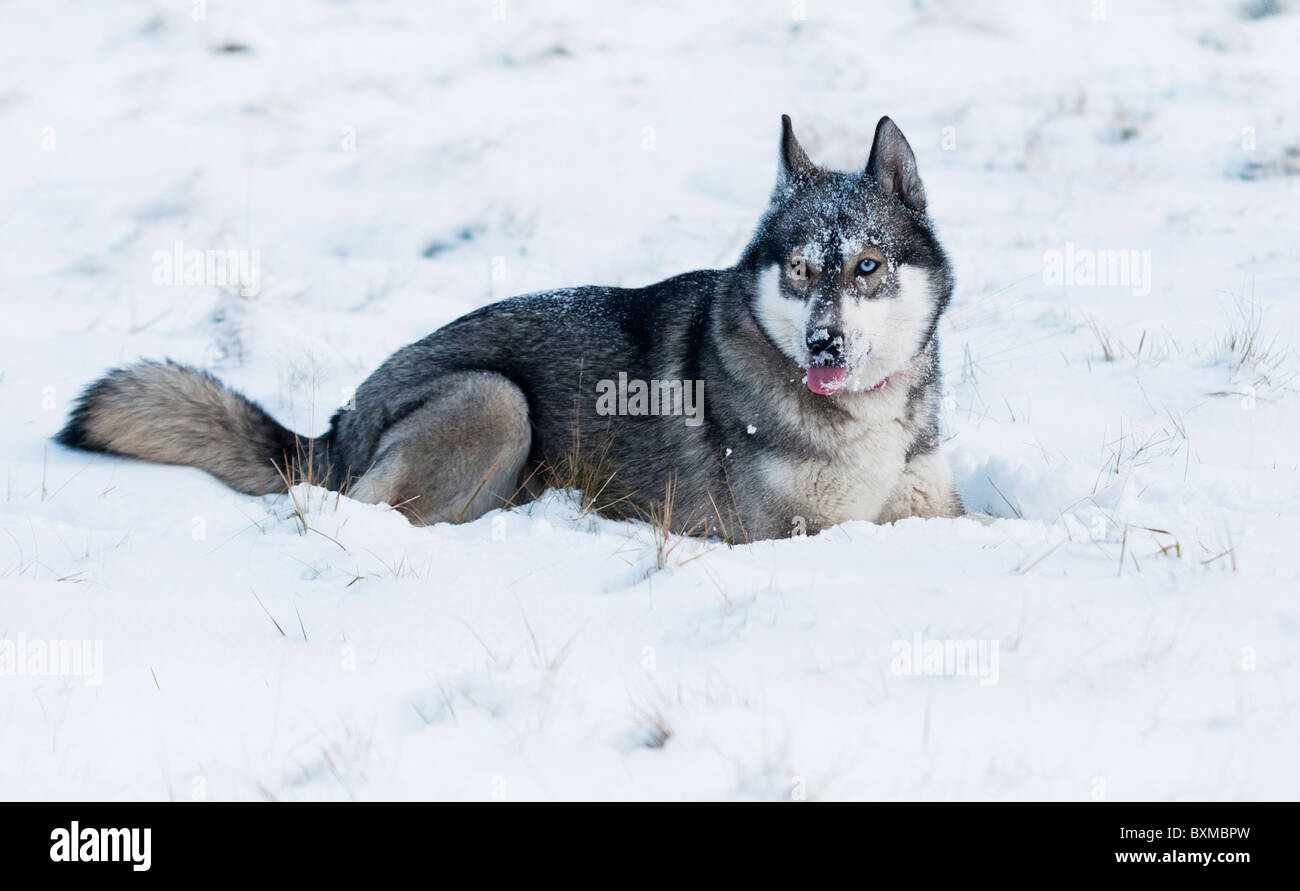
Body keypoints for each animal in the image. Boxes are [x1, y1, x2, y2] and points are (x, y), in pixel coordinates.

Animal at [58, 114, 956, 538]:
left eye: (866, 266)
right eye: (800, 271)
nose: (823, 344)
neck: (861, 419)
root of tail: (340, 421)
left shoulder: (925, 504)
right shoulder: (793, 532)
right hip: (496, 399)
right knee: (354, 512)